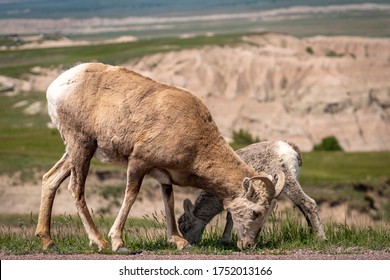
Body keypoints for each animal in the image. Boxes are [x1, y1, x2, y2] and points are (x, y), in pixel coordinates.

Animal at [35, 63, 286, 252]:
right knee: (75, 188)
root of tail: (57, 87)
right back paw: (100, 242)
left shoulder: (164, 175)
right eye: (256, 212)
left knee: (51, 179)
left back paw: (48, 241)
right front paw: (119, 242)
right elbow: (131, 196)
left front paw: (180, 242)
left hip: (73, 151)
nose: (249, 245)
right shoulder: (139, 163)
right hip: (82, 146)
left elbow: (169, 201)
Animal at [178, 141, 324, 244]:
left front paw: (226, 240)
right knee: (302, 207)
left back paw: (321, 238)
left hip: (288, 180)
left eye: (185, 228)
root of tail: (290, 149)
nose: (188, 245)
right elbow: (231, 217)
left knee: (308, 203)